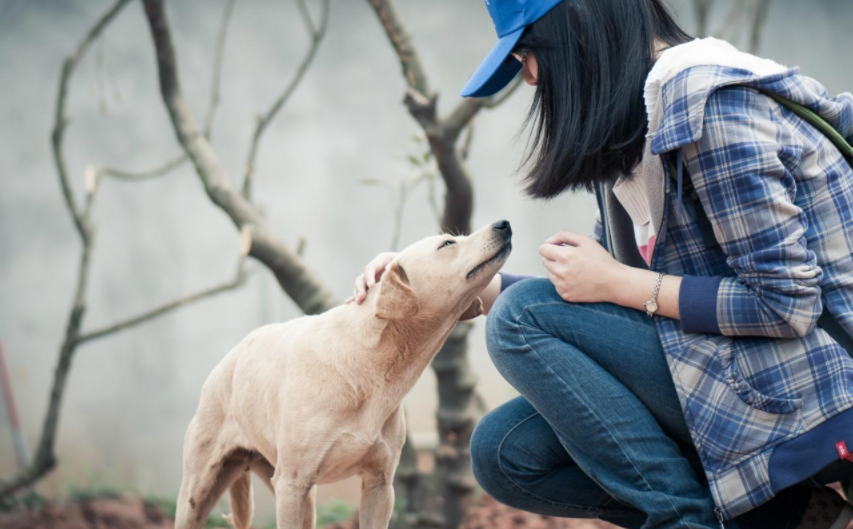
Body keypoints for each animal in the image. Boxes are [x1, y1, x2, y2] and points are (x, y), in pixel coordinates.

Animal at [170, 220, 510, 528]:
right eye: (448, 244)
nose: (503, 224)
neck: (370, 364)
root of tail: (228, 359)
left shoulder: (380, 485)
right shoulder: (292, 484)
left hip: (303, 498)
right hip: (199, 493)